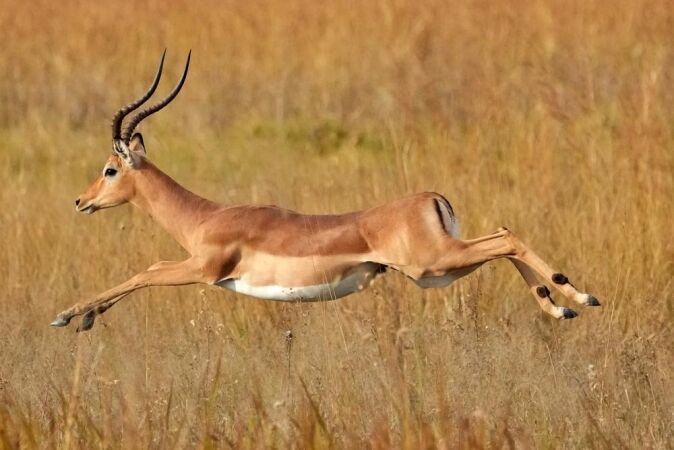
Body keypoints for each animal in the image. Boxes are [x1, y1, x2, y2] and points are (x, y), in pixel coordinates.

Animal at [51, 51, 600, 332]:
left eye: (109, 169)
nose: (79, 202)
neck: (204, 217)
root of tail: (431, 199)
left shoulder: (203, 269)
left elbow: (146, 270)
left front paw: (69, 315)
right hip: (438, 271)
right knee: (504, 239)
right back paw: (562, 305)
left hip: (433, 264)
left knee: (506, 238)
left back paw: (580, 294)